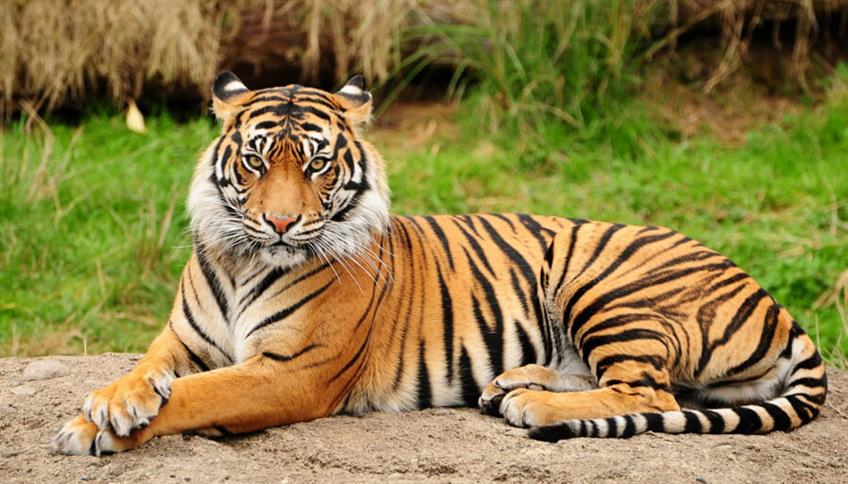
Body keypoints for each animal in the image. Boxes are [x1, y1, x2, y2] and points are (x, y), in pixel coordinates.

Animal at [53, 72, 827, 455]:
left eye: (317, 164)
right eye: (255, 160)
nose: (279, 222)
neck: (246, 260)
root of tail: (774, 300)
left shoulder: (291, 372)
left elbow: (198, 396)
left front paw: (96, 428)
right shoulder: (181, 339)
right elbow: (148, 372)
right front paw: (110, 403)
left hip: (605, 284)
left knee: (653, 394)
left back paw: (532, 403)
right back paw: (511, 384)